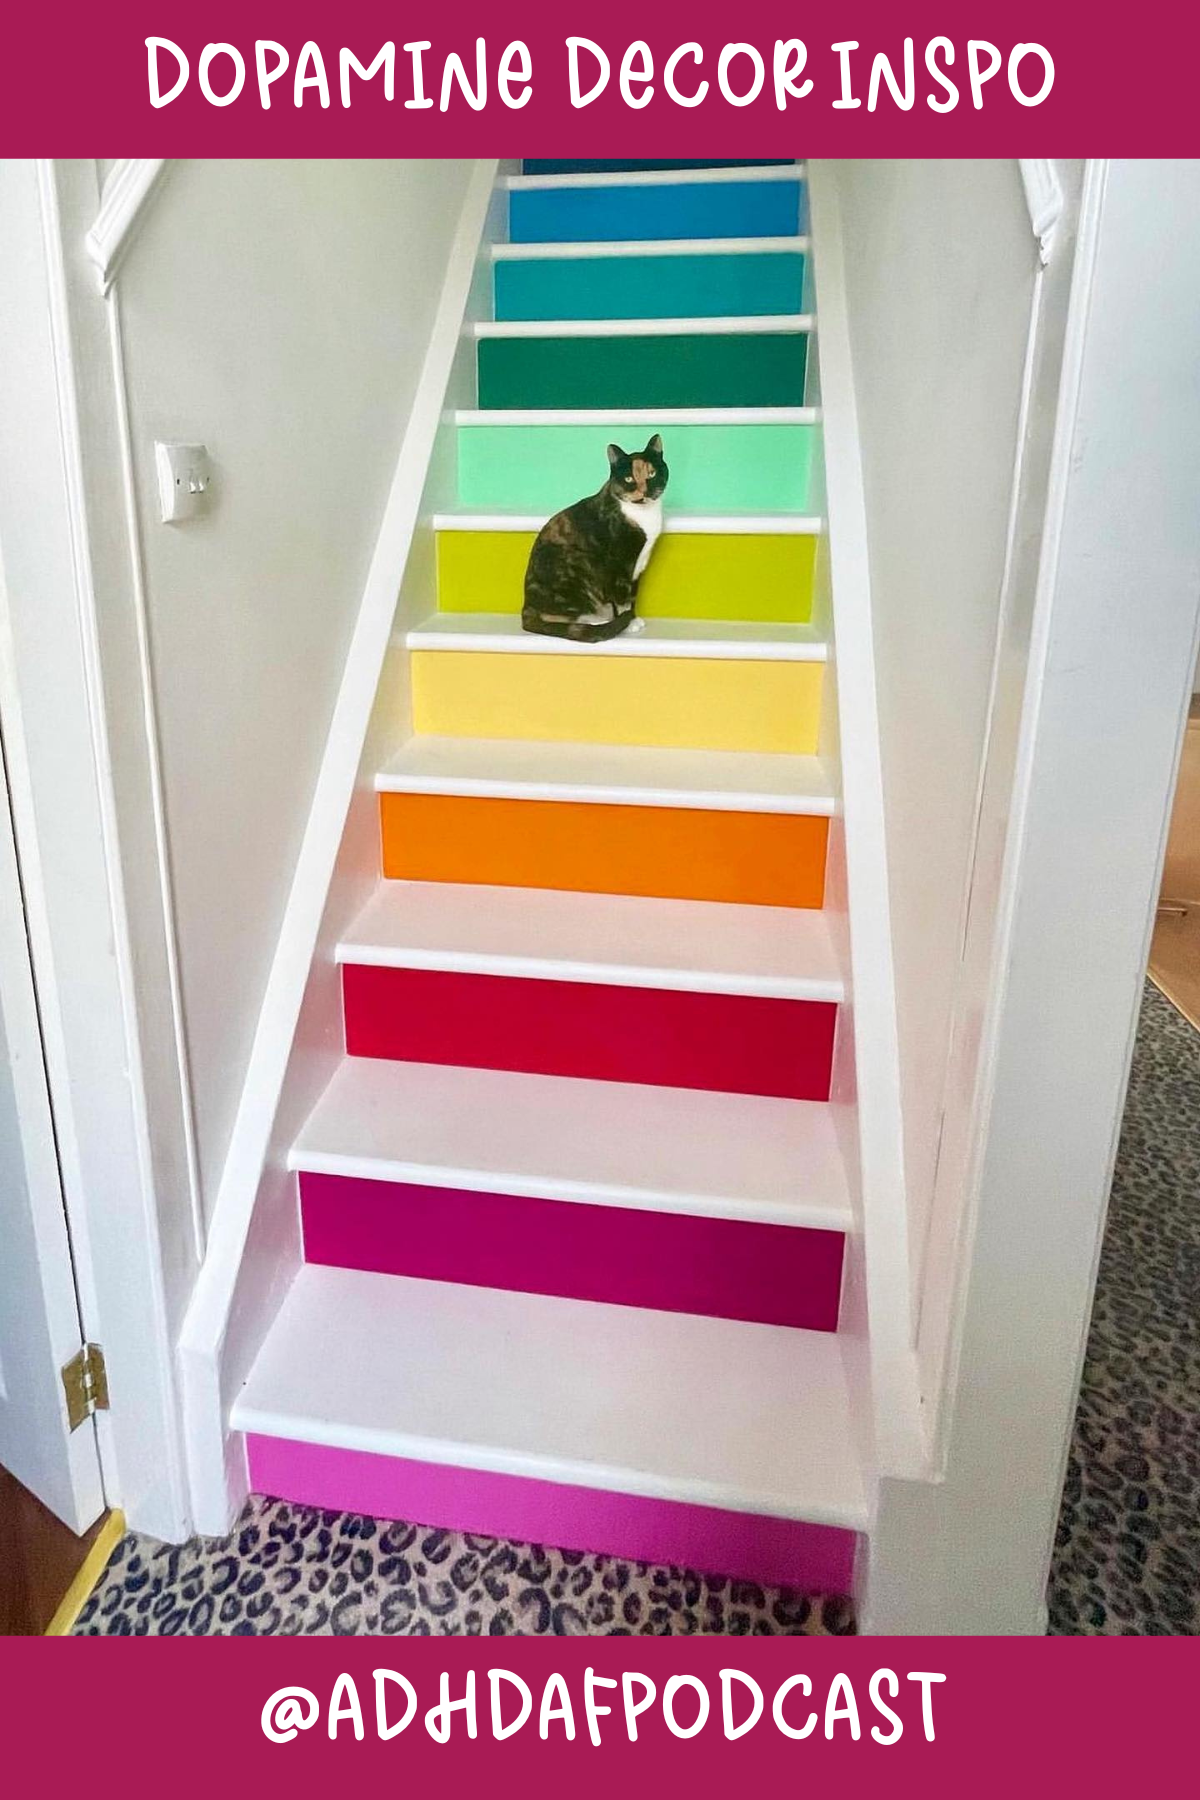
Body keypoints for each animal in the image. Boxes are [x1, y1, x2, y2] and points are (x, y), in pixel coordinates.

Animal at [521, 437, 672, 648]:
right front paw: (629, 622)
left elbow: (633, 596)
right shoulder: (620, 565)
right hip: (576, 566)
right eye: (629, 479)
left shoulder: (637, 567)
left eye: (652, 473)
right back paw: (599, 621)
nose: (644, 491)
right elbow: (623, 599)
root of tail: (526, 608)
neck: (643, 516)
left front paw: (633, 617)